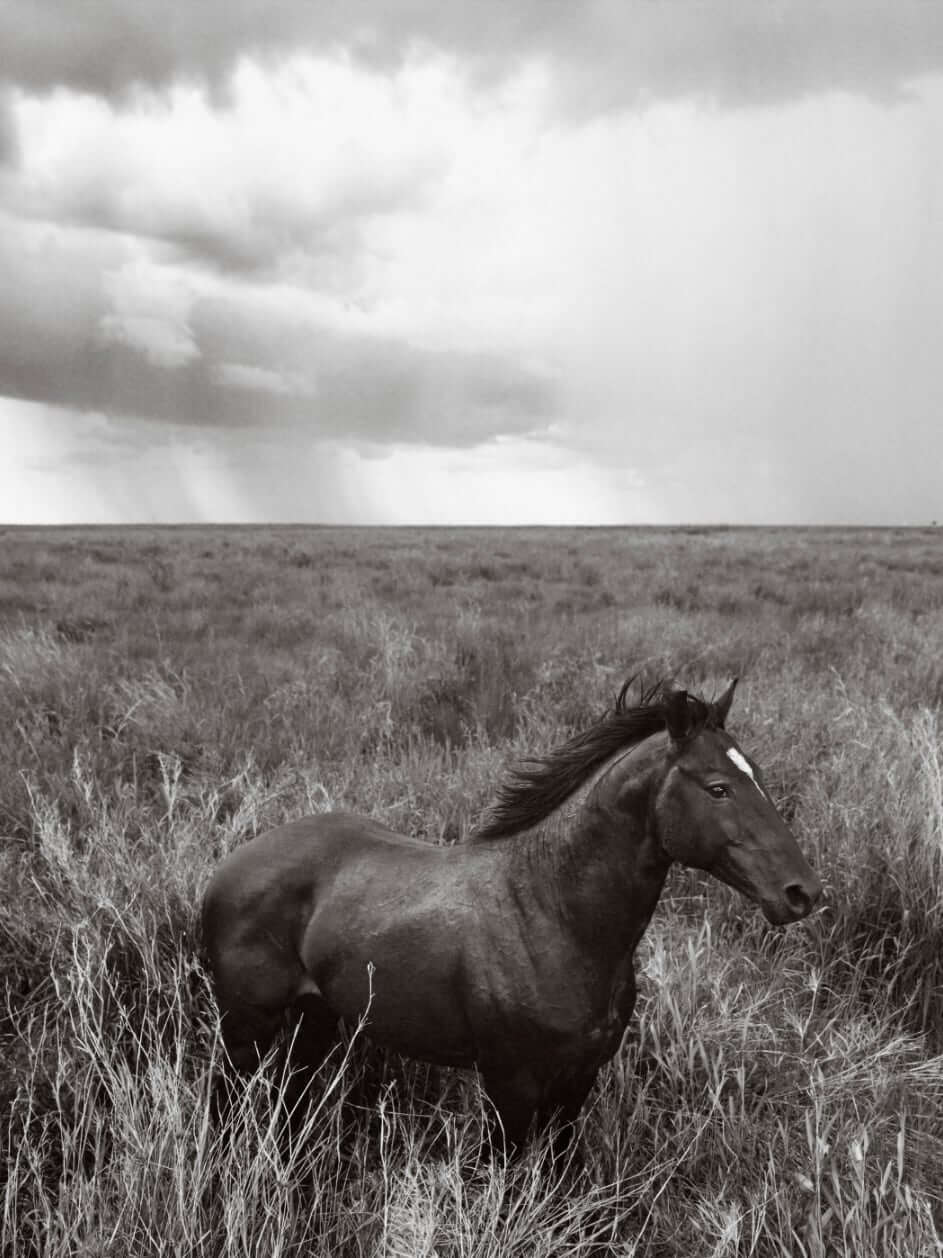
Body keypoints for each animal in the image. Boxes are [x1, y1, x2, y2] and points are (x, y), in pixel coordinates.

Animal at [201, 678, 822, 1155]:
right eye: (718, 788)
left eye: (757, 775)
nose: (802, 893)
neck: (553, 916)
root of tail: (229, 866)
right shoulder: (511, 1087)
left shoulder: (578, 1082)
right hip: (245, 1028)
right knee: (227, 1105)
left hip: (317, 1020)